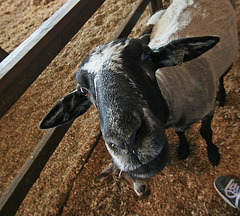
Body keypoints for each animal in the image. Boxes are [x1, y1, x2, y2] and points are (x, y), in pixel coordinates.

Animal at [38, 0, 237, 197]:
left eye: (146, 55)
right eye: (83, 90)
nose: (126, 141)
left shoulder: (207, 111)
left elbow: (206, 132)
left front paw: (213, 153)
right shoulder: (177, 124)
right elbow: (180, 133)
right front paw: (183, 149)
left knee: (222, 74)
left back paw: (221, 95)